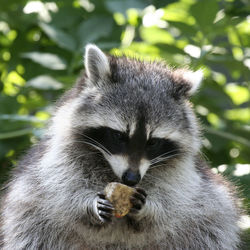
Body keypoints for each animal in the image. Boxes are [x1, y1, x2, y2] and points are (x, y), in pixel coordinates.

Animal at [0, 44, 241, 249]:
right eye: (118, 136)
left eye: (153, 142)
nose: (131, 179)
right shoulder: (60, 157)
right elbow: (60, 188)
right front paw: (87, 204)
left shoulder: (182, 171)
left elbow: (176, 197)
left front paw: (150, 209)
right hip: (32, 220)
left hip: (206, 225)